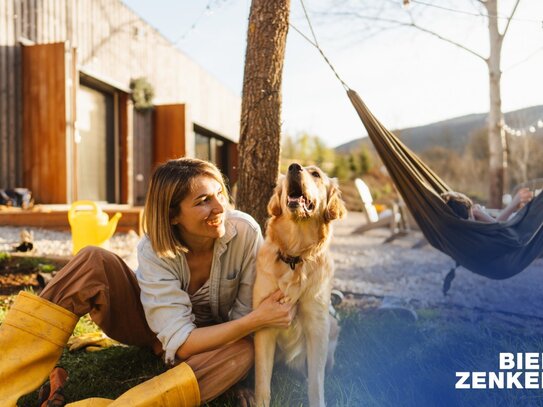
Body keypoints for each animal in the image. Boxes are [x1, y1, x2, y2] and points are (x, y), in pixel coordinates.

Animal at [254, 163, 346, 407]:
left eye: (316, 174)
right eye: (290, 169)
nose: (294, 167)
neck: (295, 257)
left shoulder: (317, 326)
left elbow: (316, 383)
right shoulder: (264, 324)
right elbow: (262, 381)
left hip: (331, 326)